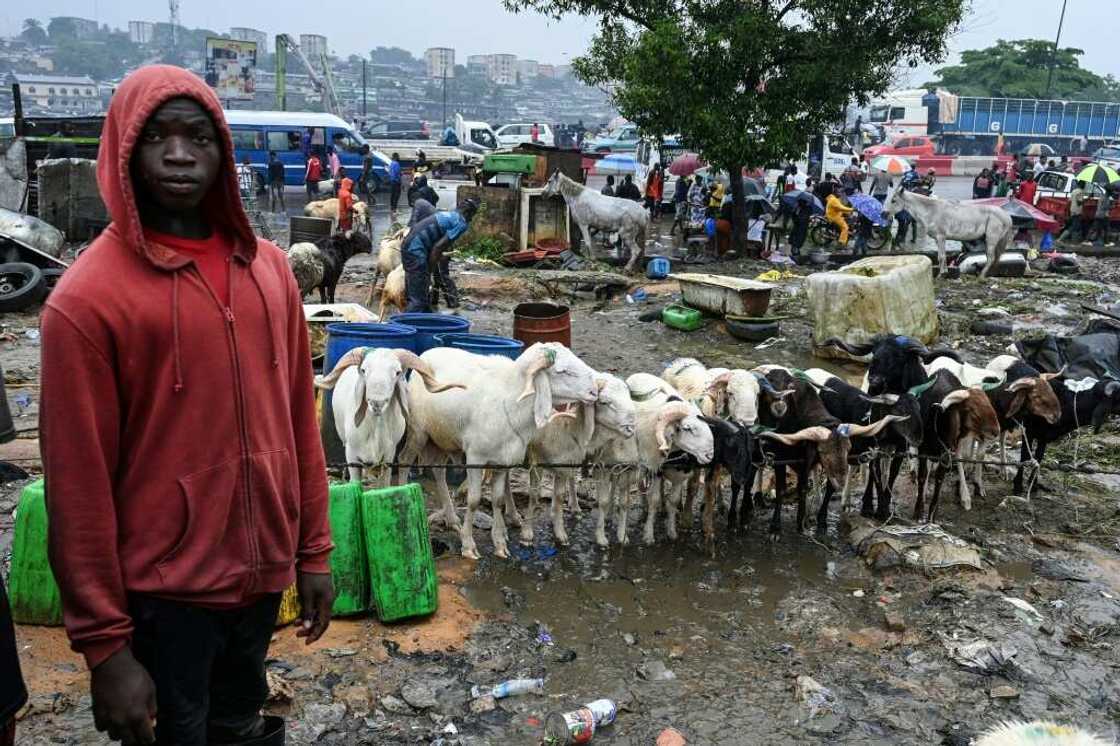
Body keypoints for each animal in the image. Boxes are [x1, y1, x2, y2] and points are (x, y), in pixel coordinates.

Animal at [313, 344, 461, 486]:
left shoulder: (388, 456)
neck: (374, 431)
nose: (377, 403)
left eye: (397, 372)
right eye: (364, 370)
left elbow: (384, 485)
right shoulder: (352, 455)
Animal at [398, 340, 600, 555]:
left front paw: (500, 544)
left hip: (442, 437)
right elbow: (474, 500)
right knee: (404, 461)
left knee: (438, 471)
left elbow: (498, 500)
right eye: (563, 371)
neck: (511, 402)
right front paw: (468, 545)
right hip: (418, 431)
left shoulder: (503, 461)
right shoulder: (475, 458)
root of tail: (427, 353)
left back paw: (452, 519)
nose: (594, 392)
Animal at [521, 371, 636, 546]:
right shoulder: (537, 461)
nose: (631, 427)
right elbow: (534, 496)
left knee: (571, 480)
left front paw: (559, 532)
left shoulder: (563, 465)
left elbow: (559, 497)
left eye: (628, 396)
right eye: (604, 402)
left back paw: (575, 506)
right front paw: (527, 533)